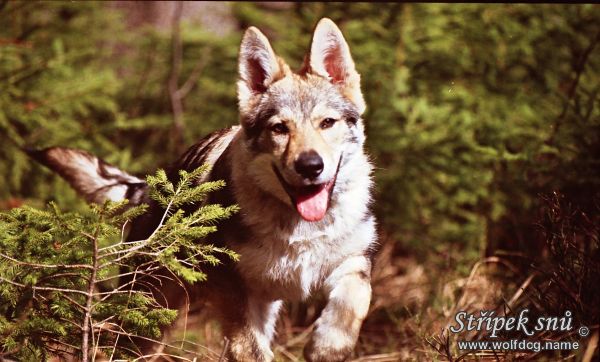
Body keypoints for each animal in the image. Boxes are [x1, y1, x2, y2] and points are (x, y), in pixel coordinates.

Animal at [30, 18, 378, 360]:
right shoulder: (235, 290)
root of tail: (147, 187)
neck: (300, 229)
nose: (310, 165)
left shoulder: (354, 262)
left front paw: (326, 348)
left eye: (327, 123)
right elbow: (250, 349)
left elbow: (351, 306)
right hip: (150, 318)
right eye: (280, 129)